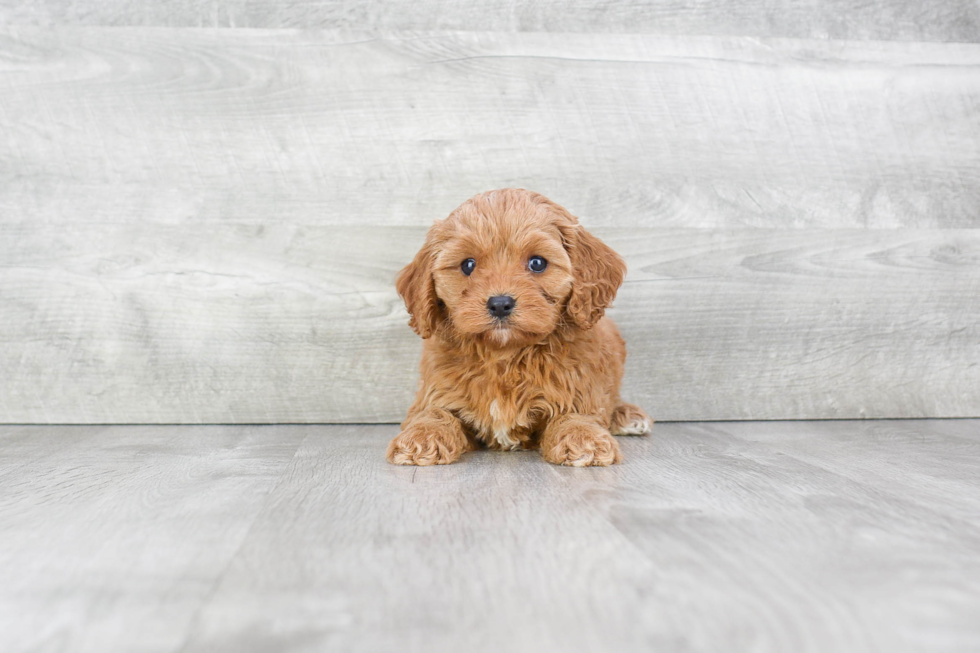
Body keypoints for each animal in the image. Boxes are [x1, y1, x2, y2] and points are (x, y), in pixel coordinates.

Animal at [382, 186, 652, 466]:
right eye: (468, 265)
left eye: (537, 263)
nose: (500, 304)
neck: (505, 354)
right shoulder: (434, 391)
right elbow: (433, 412)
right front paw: (422, 436)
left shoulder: (579, 389)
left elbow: (576, 413)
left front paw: (583, 437)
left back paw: (628, 415)